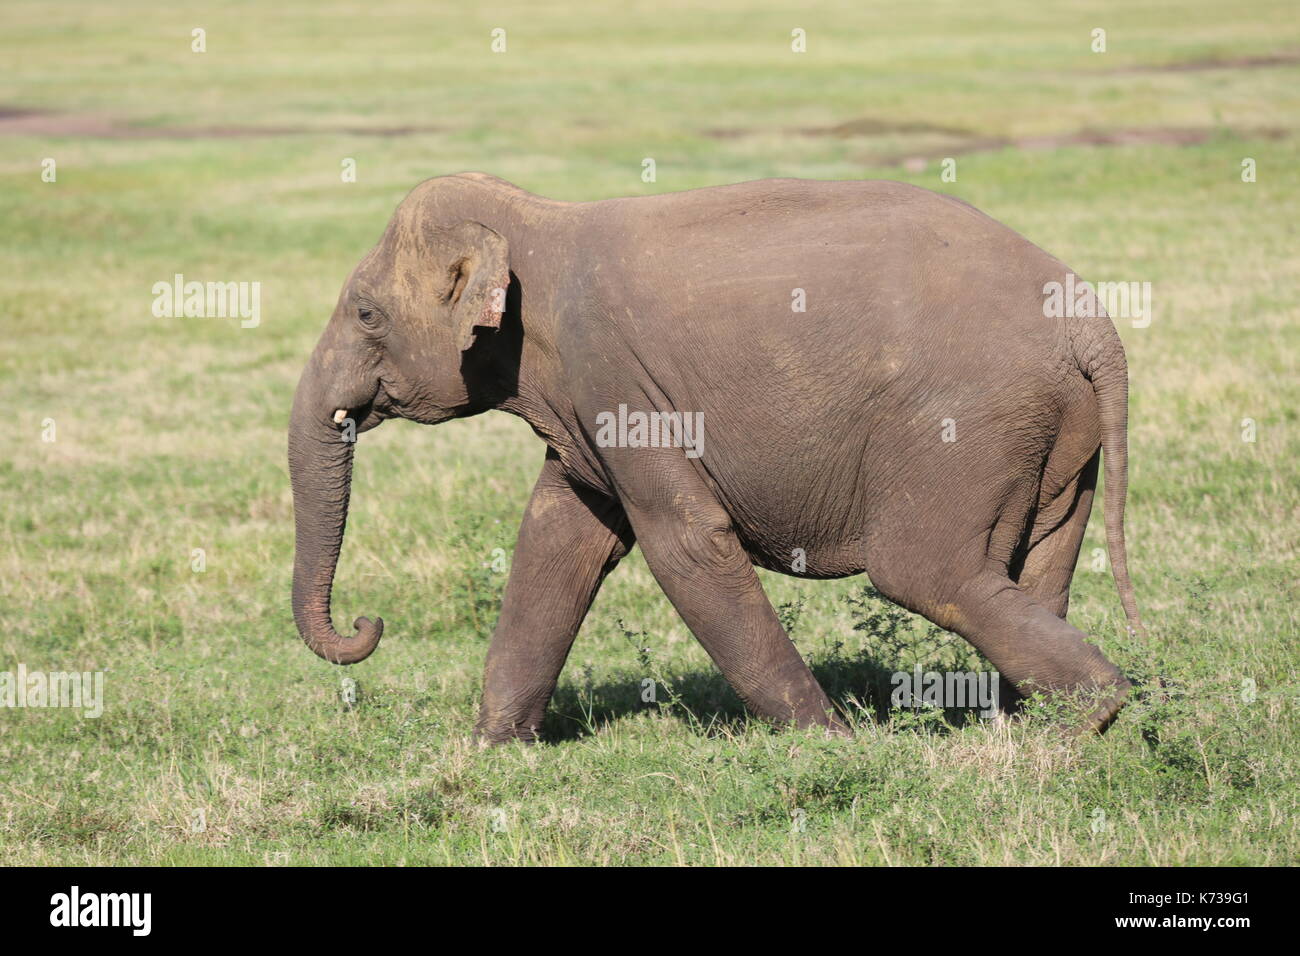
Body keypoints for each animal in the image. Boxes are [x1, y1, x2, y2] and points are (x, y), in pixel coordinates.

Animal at [289, 171, 1144, 738]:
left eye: (364, 313)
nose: (368, 622)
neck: (536, 218)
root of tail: (1092, 326)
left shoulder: (614, 377)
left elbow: (686, 542)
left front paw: (834, 746)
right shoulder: (589, 410)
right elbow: (559, 538)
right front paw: (496, 753)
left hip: (966, 428)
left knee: (925, 572)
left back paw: (1086, 718)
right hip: (1058, 444)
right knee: (1037, 573)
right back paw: (1038, 735)